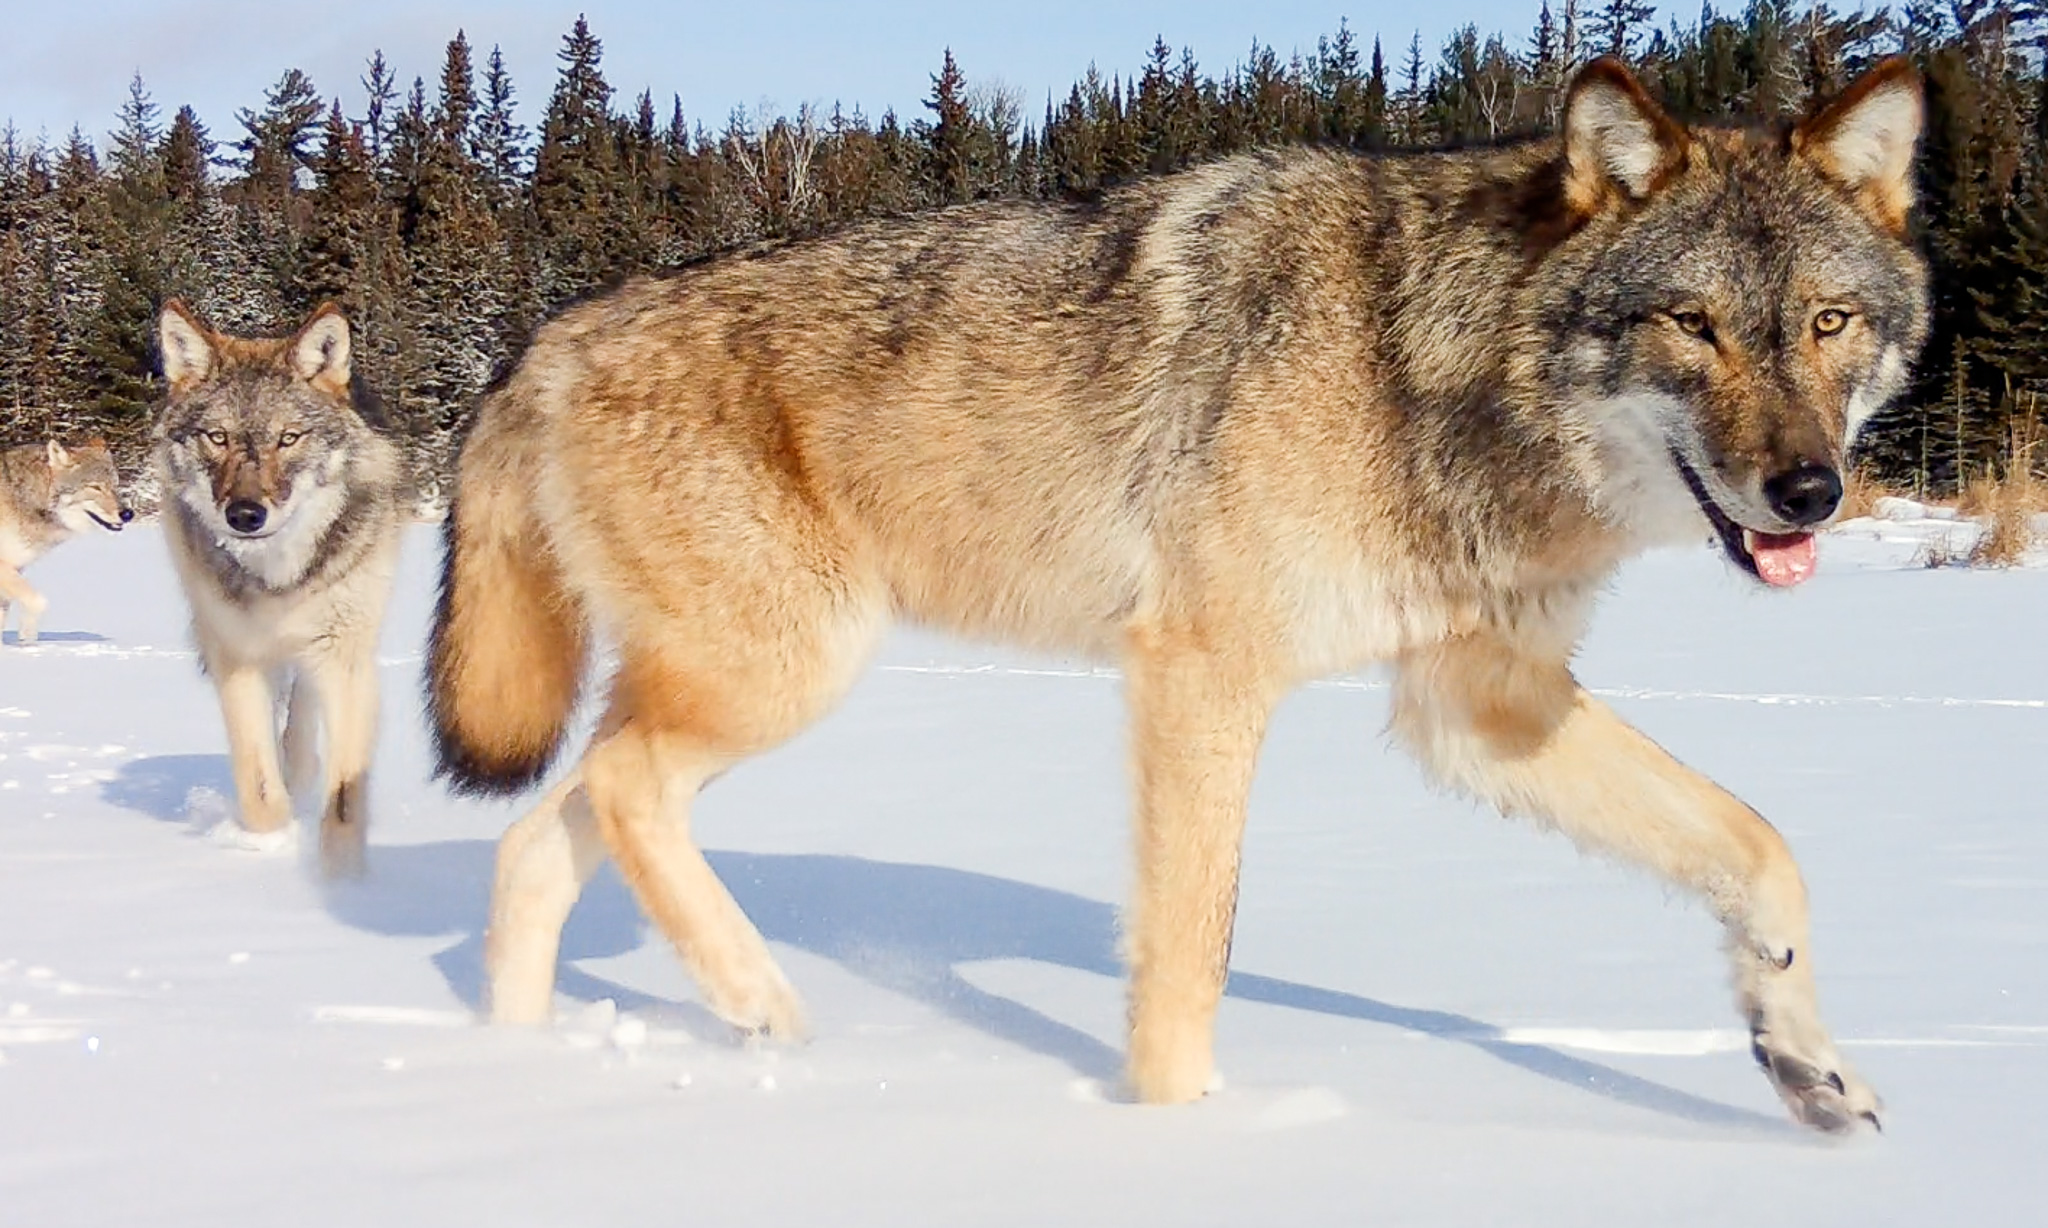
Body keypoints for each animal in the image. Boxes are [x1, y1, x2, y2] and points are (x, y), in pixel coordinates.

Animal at [0, 437, 134, 643]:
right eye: (95, 487)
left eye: (115, 485)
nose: (128, 514)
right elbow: (39, 602)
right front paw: (27, 638)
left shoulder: (16, 569)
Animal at [155, 301, 406, 876]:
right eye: (218, 437)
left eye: (288, 438)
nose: (245, 515)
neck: (278, 575)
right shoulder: (237, 657)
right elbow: (260, 785)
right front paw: (269, 851)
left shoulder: (344, 659)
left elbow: (343, 799)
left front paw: (343, 882)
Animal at [428, 57, 1927, 1132]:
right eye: (1693, 325)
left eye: (1827, 324)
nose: (1809, 492)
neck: (1424, 367)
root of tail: (543, 340)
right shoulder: (1204, 673)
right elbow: (1190, 952)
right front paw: (1178, 1143)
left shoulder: (1479, 706)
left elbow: (1760, 846)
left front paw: (1806, 1064)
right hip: (785, 673)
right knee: (619, 791)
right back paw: (762, 1010)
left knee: (538, 842)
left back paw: (527, 1066)